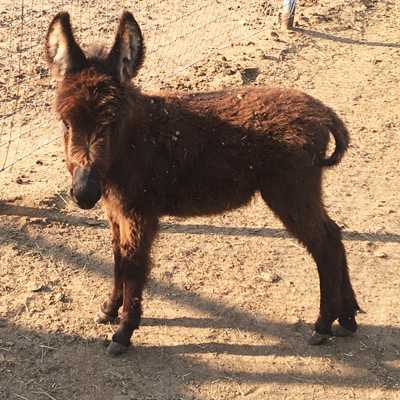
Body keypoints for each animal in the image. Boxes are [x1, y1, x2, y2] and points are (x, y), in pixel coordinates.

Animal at [46, 10, 360, 354]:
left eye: (112, 122)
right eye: (65, 122)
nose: (84, 194)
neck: (132, 144)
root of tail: (324, 113)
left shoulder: (140, 213)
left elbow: (134, 266)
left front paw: (124, 332)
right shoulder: (116, 211)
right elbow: (118, 258)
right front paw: (109, 310)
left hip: (290, 190)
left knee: (324, 244)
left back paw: (323, 324)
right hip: (299, 190)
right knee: (334, 235)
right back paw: (347, 318)